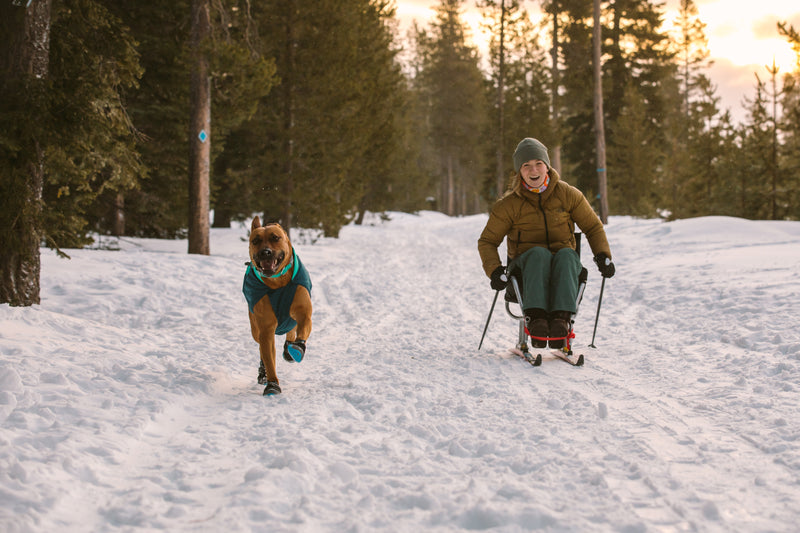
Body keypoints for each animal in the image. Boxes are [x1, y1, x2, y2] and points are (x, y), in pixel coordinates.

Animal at [242, 216, 310, 394]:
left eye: (275, 237)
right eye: (255, 240)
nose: (265, 252)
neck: (277, 282)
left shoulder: (303, 310)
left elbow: (303, 325)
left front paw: (298, 348)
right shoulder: (265, 328)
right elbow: (268, 356)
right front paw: (272, 383)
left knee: (291, 329)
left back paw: (289, 350)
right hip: (254, 328)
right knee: (260, 346)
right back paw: (263, 374)